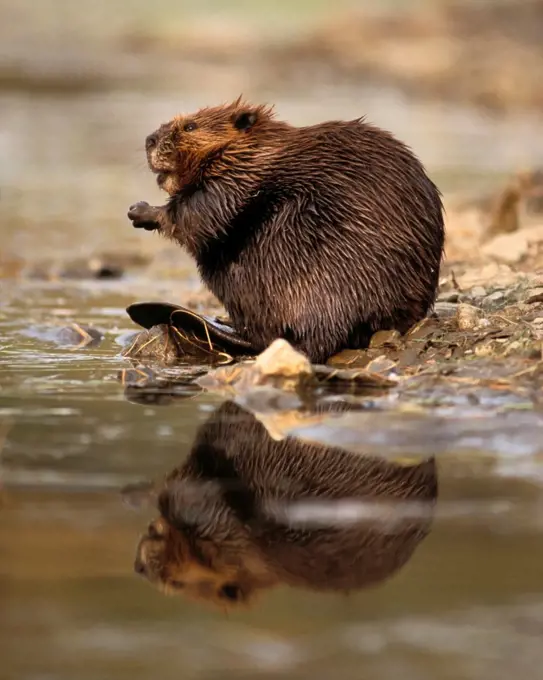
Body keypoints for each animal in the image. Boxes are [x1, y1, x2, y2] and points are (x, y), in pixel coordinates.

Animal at [129, 98, 446, 364]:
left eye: (190, 126)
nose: (149, 140)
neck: (258, 153)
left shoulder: (235, 179)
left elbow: (203, 212)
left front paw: (141, 210)